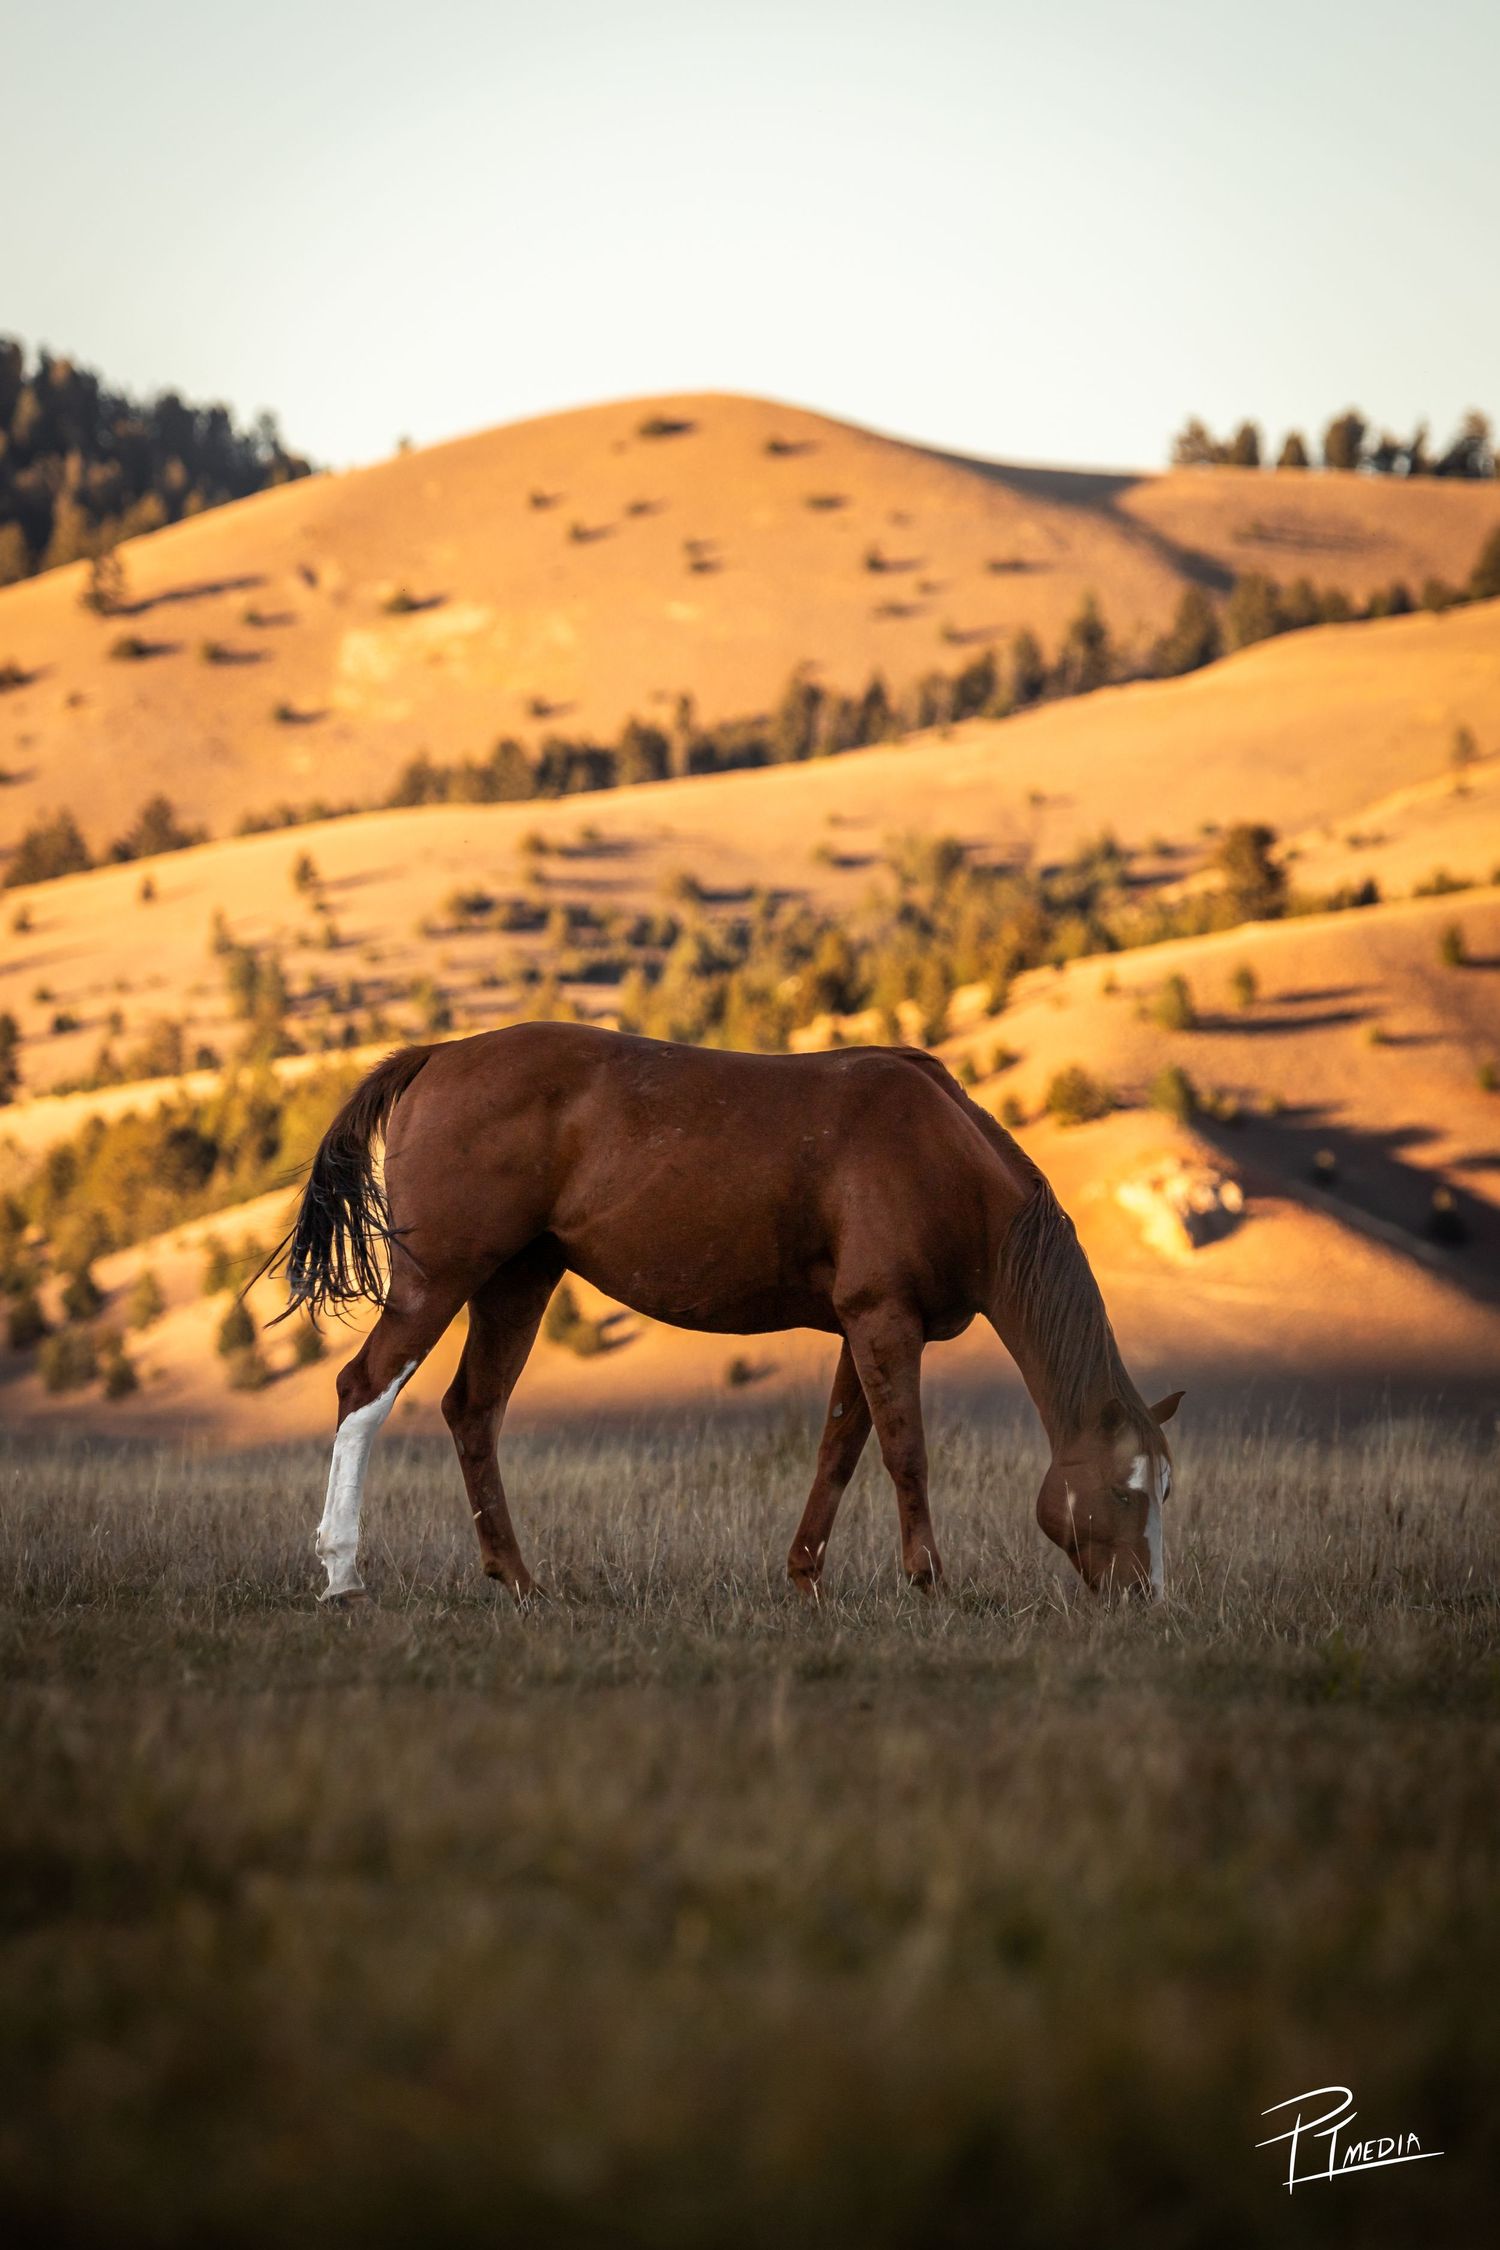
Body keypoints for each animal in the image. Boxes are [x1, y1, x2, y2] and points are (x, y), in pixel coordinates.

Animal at [277, 1023, 1181, 1607]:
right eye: (1127, 1489)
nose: (1145, 1596)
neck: (944, 1156)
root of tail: (437, 1057)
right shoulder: (885, 1322)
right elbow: (906, 1455)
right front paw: (929, 1580)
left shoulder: (864, 1331)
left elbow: (838, 1454)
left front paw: (806, 1577)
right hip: (440, 1281)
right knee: (363, 1390)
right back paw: (342, 1574)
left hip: (517, 1283)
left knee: (474, 1411)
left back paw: (520, 1580)